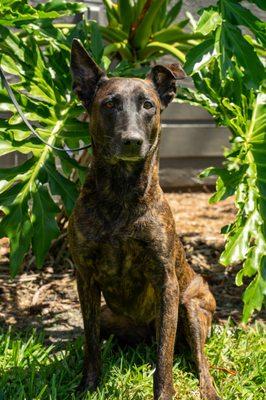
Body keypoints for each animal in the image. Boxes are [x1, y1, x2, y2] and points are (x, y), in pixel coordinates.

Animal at [68, 38, 220, 400]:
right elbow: (90, 343)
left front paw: (164, 393)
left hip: (192, 306)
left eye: (148, 105)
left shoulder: (167, 284)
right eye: (109, 104)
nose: (131, 141)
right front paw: (88, 385)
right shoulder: (85, 278)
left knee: (198, 358)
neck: (122, 197)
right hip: (110, 315)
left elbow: (165, 356)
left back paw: (208, 388)